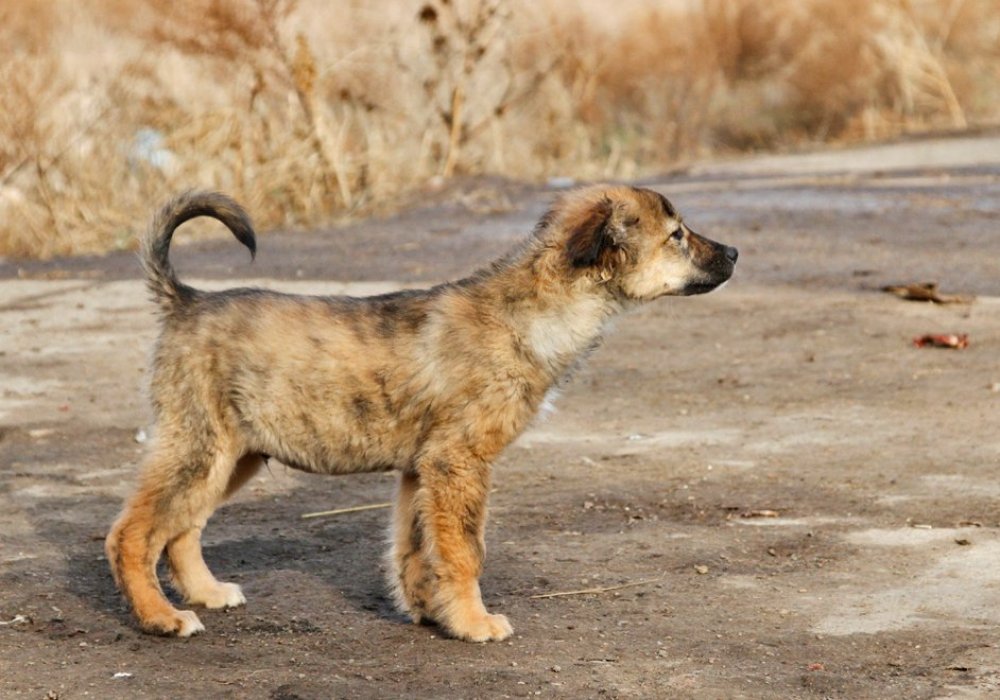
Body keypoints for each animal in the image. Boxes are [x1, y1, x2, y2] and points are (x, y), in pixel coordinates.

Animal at [107, 185, 736, 640]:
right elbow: (464, 551)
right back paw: (161, 617)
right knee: (132, 534)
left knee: (182, 528)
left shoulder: (422, 469)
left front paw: (431, 613)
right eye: (677, 236)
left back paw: (207, 593)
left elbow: (416, 549)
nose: (734, 253)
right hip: (199, 445)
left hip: (232, 453)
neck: (533, 312)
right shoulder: (460, 461)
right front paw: (475, 623)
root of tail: (185, 299)